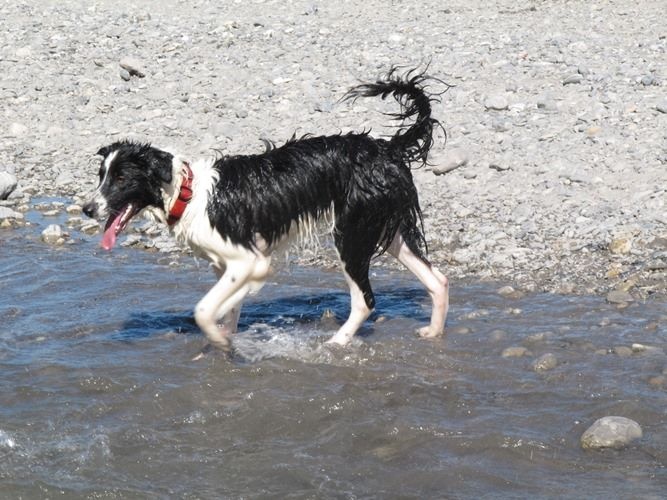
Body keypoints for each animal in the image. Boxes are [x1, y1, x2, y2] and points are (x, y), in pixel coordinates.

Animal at [82, 68, 448, 356]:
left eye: (121, 178)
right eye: (101, 176)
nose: (87, 209)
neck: (188, 194)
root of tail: (387, 148)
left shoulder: (247, 260)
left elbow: (205, 309)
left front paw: (220, 340)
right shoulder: (226, 266)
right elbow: (228, 311)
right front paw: (222, 343)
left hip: (352, 234)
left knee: (365, 301)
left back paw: (335, 343)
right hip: (386, 229)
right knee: (438, 279)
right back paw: (433, 332)